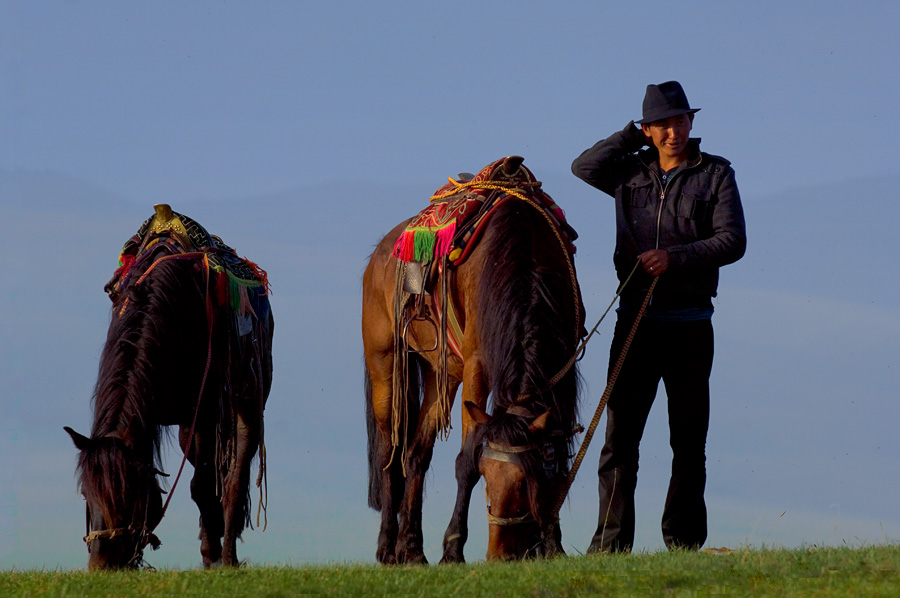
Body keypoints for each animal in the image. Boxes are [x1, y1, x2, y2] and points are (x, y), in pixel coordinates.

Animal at [65, 210, 272, 572]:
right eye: (86, 493)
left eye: (127, 494)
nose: (101, 566)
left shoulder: (205, 409)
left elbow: (205, 486)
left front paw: (214, 557)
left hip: (246, 403)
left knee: (234, 475)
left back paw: (227, 553)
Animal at [364, 157, 584, 564]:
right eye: (488, 479)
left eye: (526, 481)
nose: (501, 553)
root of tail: (381, 253)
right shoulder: (477, 365)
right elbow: (464, 460)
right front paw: (453, 548)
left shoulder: (563, 367)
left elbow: (559, 454)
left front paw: (553, 544)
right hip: (385, 364)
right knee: (390, 452)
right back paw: (387, 547)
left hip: (441, 373)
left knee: (416, 456)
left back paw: (411, 548)